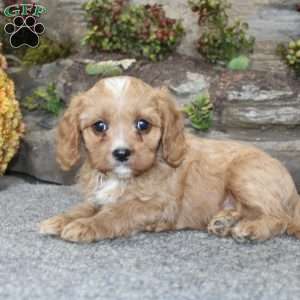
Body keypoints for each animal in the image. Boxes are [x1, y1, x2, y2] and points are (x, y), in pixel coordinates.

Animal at [39, 76, 300, 243]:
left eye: (143, 125)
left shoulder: (159, 204)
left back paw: (250, 228)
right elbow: (84, 207)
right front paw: (60, 219)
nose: (121, 153)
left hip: (243, 174)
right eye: (99, 126)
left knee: (279, 217)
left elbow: (118, 211)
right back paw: (225, 221)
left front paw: (85, 225)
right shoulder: (99, 196)